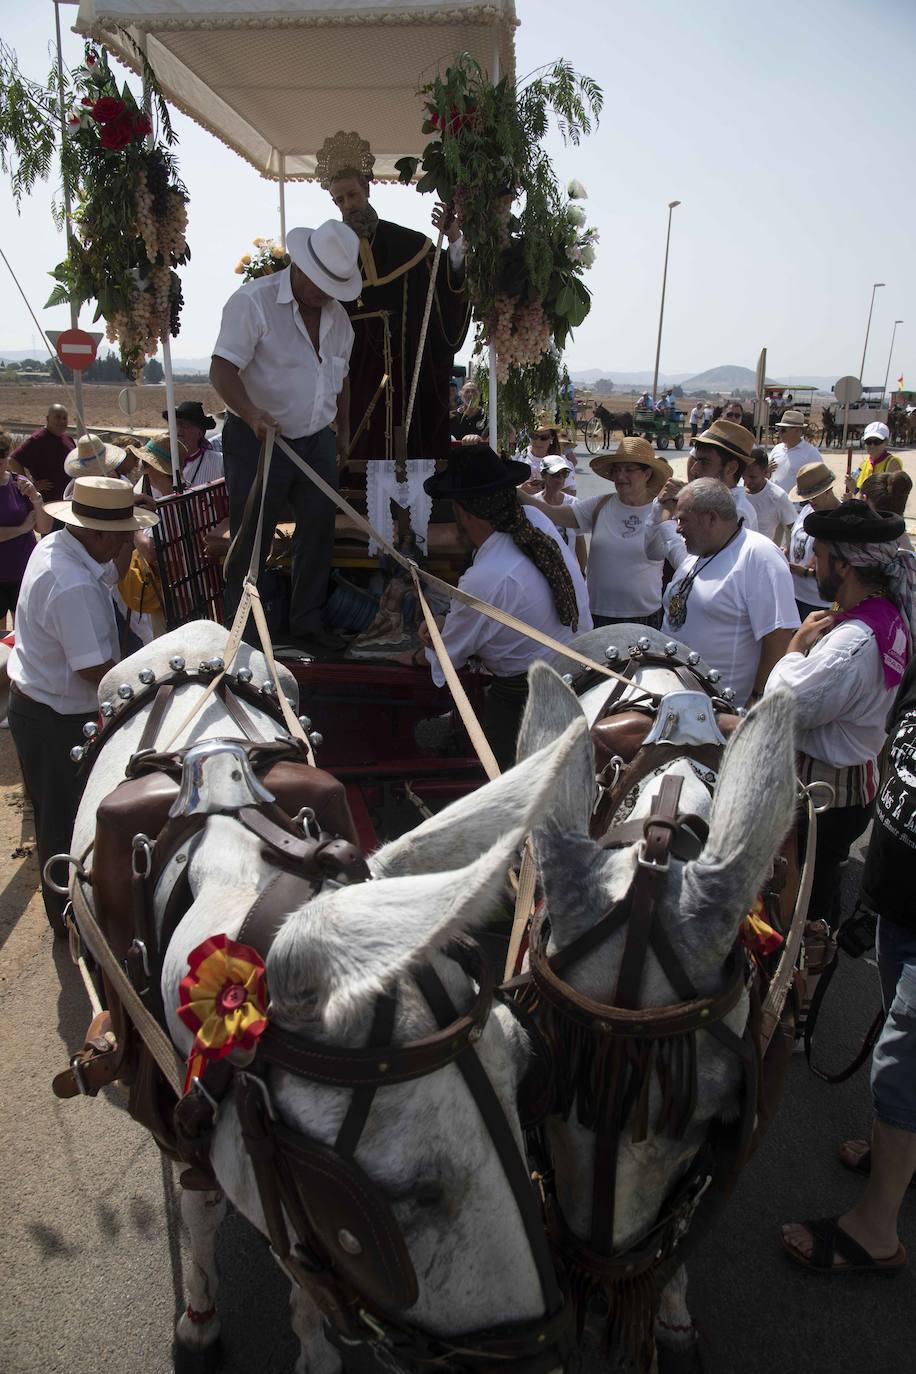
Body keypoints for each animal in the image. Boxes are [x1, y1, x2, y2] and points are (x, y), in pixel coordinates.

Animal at [71, 626, 587, 1374]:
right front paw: (199, 1319)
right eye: (377, 1202)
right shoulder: (180, 1113)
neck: (226, 855)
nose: (541, 1360)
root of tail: (197, 637)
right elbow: (202, 1210)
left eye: (528, 1081)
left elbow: (304, 1279)